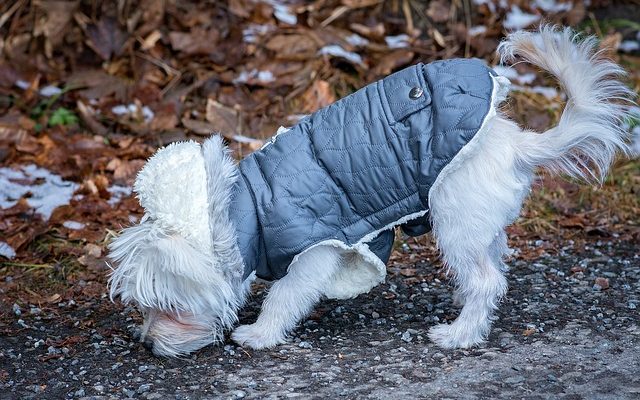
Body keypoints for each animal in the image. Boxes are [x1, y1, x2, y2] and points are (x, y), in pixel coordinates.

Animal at [107, 27, 632, 356]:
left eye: (169, 308)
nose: (146, 343)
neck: (244, 208)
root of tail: (512, 143)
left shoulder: (315, 250)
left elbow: (284, 295)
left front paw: (259, 334)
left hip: (455, 223)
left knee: (487, 280)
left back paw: (461, 334)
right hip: (477, 225)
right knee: (492, 270)